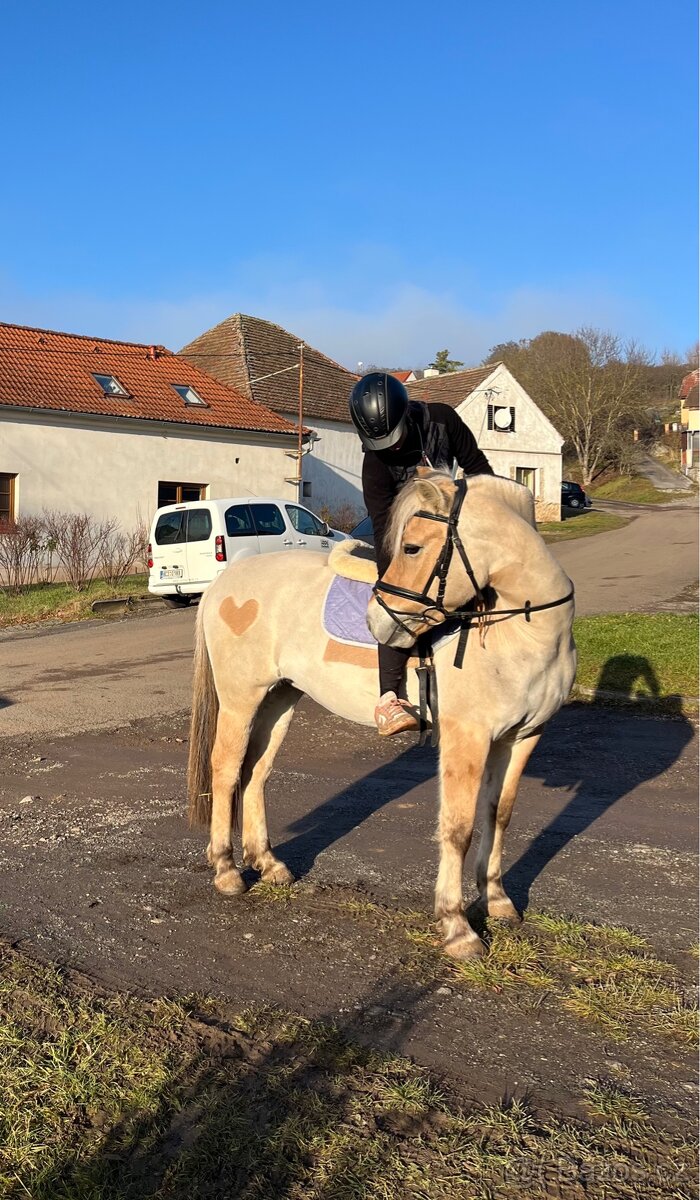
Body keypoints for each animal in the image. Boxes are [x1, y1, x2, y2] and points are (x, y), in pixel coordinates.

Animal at [187, 470, 576, 959]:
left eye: (412, 548)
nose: (377, 622)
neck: (524, 633)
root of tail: (224, 582)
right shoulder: (466, 737)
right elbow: (458, 826)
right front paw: (457, 926)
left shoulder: (522, 737)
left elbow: (498, 814)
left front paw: (498, 901)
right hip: (242, 698)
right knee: (225, 769)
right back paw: (225, 870)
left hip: (279, 699)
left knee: (255, 772)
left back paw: (268, 862)